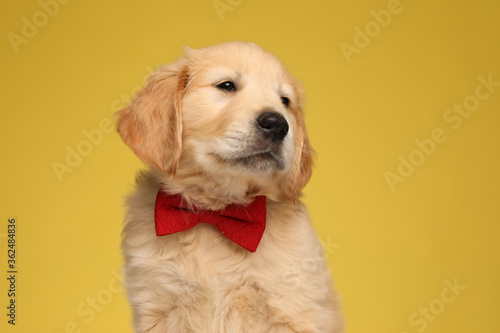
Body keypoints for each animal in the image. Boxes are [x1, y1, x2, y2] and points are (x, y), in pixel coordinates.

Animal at [116, 42, 344, 332]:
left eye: (285, 101)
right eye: (226, 86)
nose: (278, 124)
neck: (217, 210)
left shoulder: (295, 309)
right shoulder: (157, 306)